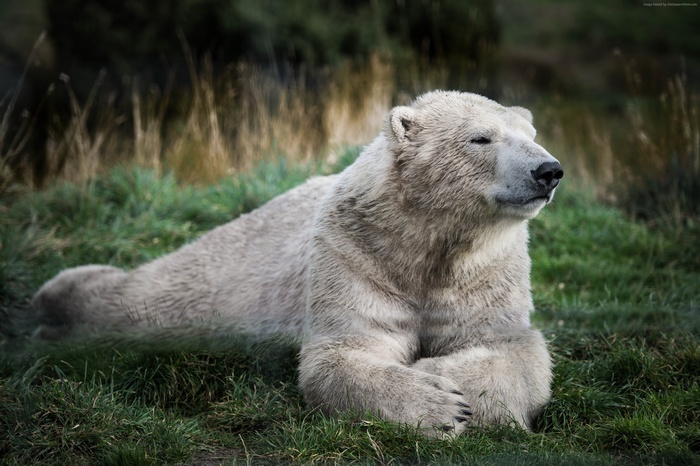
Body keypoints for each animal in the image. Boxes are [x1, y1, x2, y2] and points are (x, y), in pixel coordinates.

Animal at [32, 91, 563, 435]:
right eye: (481, 139)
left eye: (532, 134)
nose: (549, 170)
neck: (425, 238)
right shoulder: (357, 254)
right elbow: (342, 352)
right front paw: (439, 403)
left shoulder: (486, 272)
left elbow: (513, 350)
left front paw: (447, 376)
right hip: (229, 272)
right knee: (153, 298)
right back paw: (59, 298)